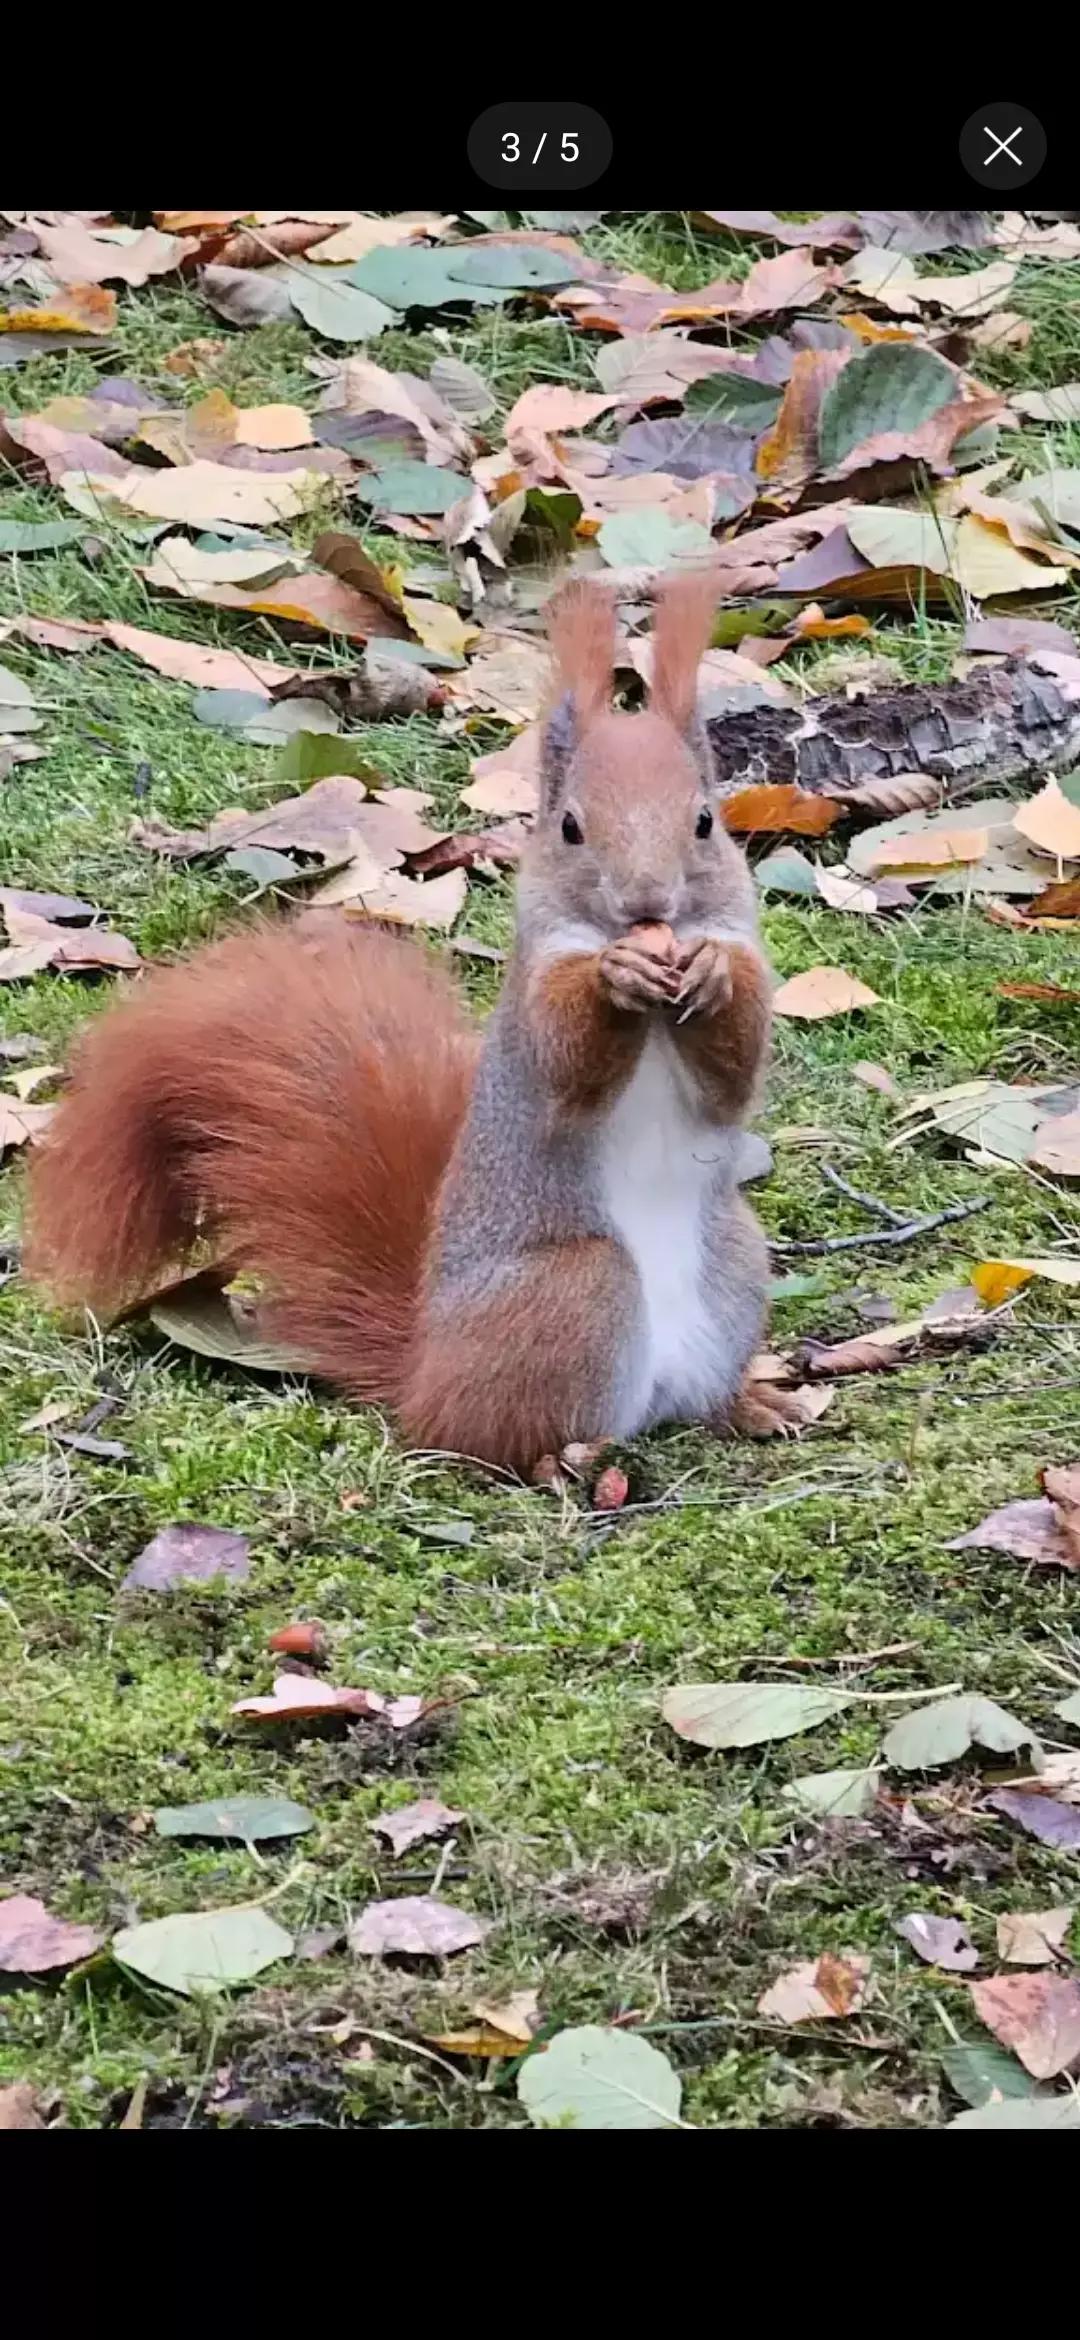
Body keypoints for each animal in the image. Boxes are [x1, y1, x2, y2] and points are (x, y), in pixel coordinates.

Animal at [25, 568, 805, 1472]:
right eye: (570, 827)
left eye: (706, 821)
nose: (648, 904)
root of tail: (424, 1373)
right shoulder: (534, 1004)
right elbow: (566, 1066)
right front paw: (617, 976)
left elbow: (732, 1075)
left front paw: (711, 973)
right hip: (579, 1290)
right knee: (500, 1440)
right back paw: (563, 1461)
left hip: (736, 1264)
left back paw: (752, 1407)